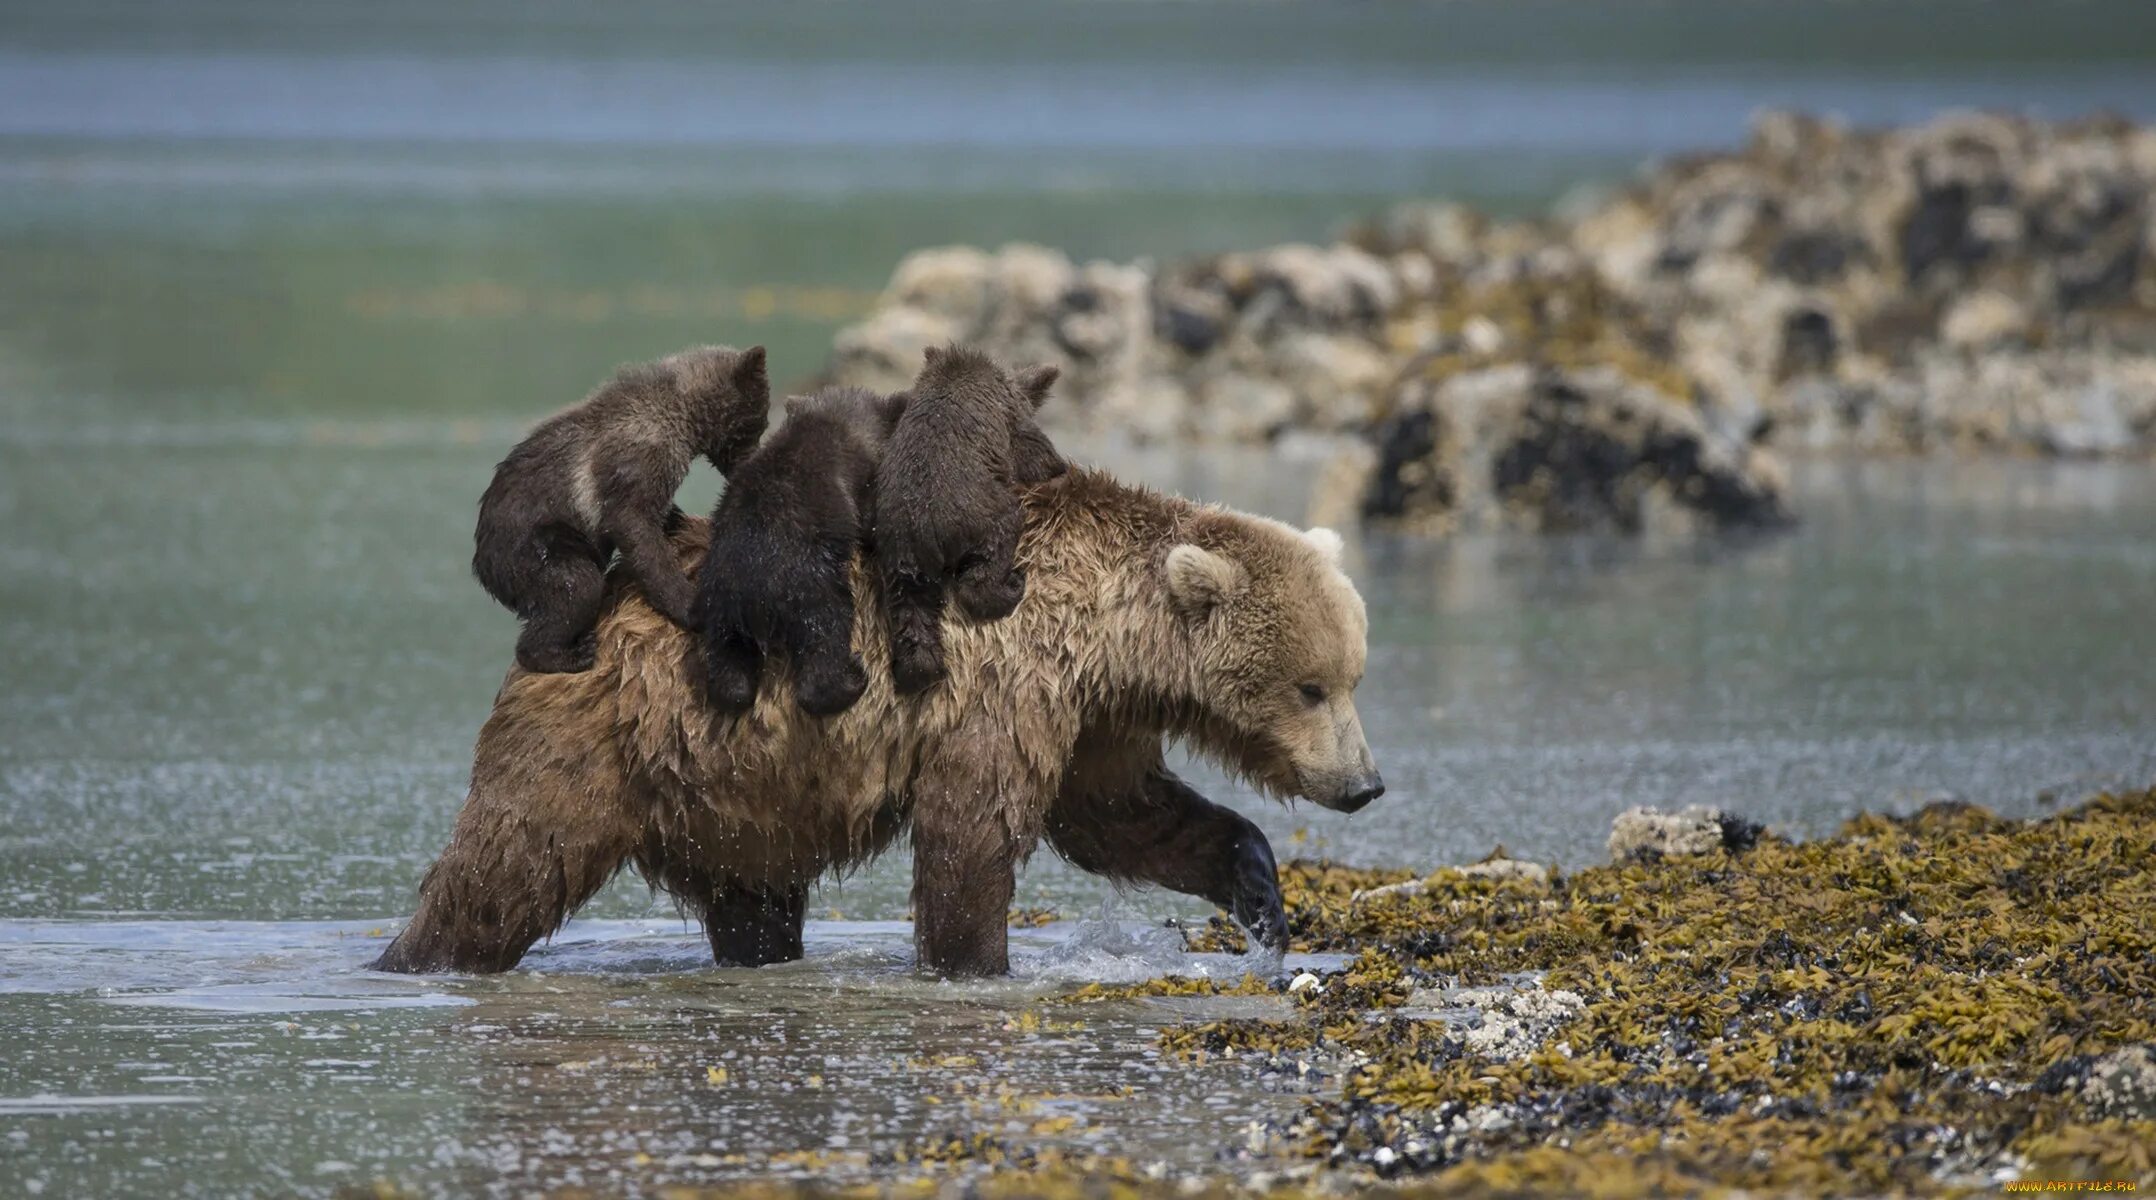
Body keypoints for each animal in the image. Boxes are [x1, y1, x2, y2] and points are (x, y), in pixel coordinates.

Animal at [370, 465, 1379, 973]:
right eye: (1311, 687)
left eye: (1351, 676)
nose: (1364, 784)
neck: (1109, 635)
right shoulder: (1005, 682)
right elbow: (973, 829)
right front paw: (976, 963)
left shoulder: (1093, 715)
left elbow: (1123, 817)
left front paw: (1260, 891)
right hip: (604, 742)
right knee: (502, 872)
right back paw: (412, 958)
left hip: (740, 794)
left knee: (753, 905)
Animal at [476, 344, 771, 672]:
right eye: (759, 423)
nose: (752, 465)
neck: (681, 414)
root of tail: (483, 566)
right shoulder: (636, 462)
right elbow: (635, 529)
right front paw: (688, 605)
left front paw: (680, 521)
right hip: (533, 545)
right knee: (576, 584)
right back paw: (565, 653)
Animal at [681, 387, 901, 715]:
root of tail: (755, 601)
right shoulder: (857, 477)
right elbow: (869, 518)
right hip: (809, 588)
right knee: (825, 637)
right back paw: (853, 677)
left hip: (720, 604)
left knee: (729, 663)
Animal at [875, 344, 1069, 693]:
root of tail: (926, 528)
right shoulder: (1012, 419)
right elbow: (1034, 453)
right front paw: (1057, 467)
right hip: (984, 519)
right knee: (984, 570)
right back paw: (1012, 585)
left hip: (901, 556)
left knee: (912, 613)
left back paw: (919, 670)